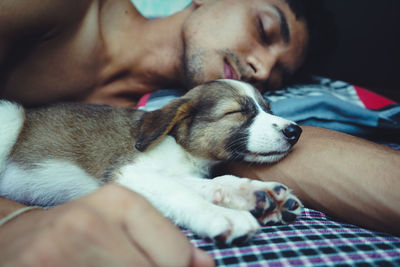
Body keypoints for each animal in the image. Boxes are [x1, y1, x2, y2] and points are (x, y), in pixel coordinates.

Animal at [0, 79, 302, 245]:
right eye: (237, 112)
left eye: (268, 108)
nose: (295, 131)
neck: (181, 146)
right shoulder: (128, 172)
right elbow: (179, 192)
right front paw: (221, 214)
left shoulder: (172, 173)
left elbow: (214, 182)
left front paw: (254, 193)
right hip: (10, 114)